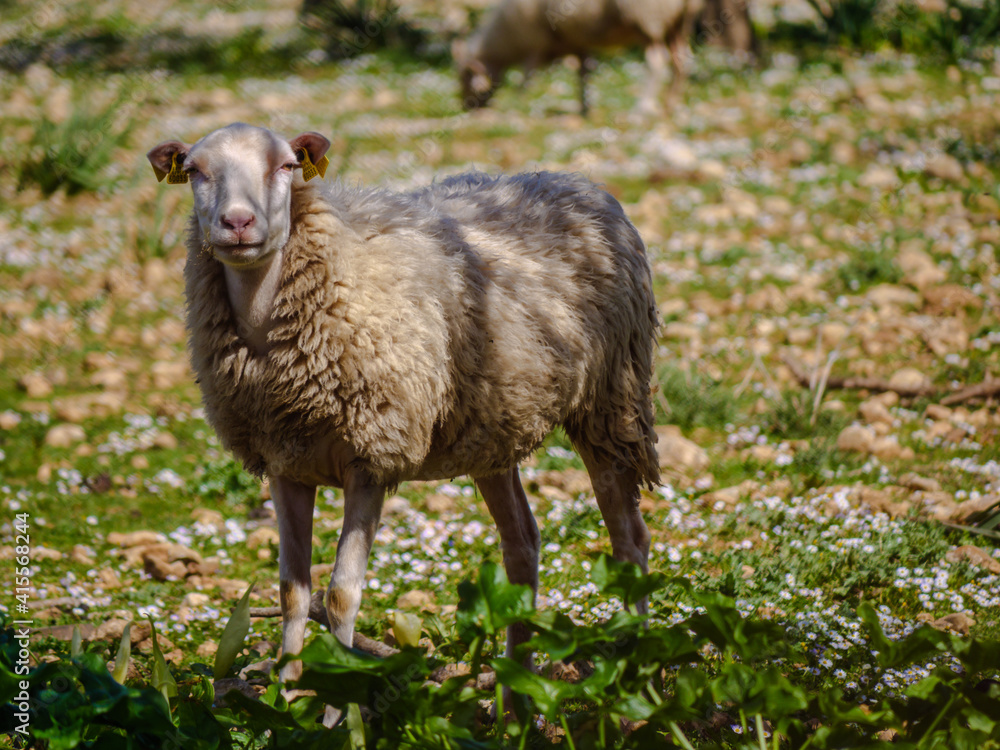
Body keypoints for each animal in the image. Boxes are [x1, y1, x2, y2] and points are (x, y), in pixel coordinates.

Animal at [146, 122, 660, 702]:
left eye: (286, 166)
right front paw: (286, 698)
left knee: (628, 540)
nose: (237, 223)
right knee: (522, 544)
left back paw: (633, 675)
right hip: (493, 424)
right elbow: (293, 593)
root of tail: (575, 181)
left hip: (611, 400)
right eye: (194, 171)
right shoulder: (283, 463)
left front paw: (336, 701)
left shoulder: (373, 456)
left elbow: (341, 597)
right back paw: (513, 700)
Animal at [454, 0, 706, 115]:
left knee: (656, 61)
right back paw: (671, 102)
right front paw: (585, 106)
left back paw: (643, 105)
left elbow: (528, 77)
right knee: (682, 60)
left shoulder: (534, 42)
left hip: (647, 18)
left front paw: (519, 100)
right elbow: (583, 73)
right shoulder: (577, 41)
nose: (466, 107)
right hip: (677, 23)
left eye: (465, 78)